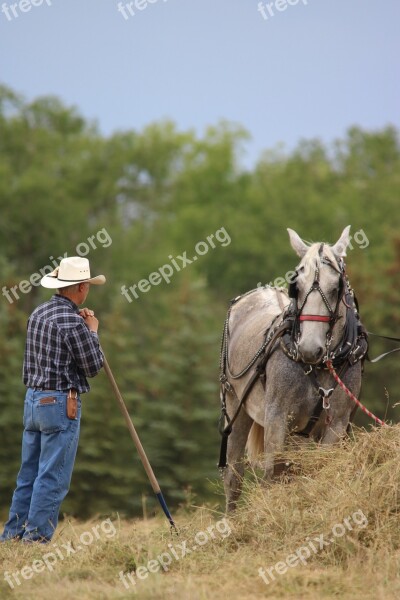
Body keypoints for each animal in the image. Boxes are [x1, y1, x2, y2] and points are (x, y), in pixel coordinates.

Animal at [220, 225, 368, 510]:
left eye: (336, 288)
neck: (319, 367)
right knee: (234, 476)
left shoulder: (336, 424)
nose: (310, 349)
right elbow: (272, 475)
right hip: (236, 406)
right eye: (295, 287)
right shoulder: (277, 418)